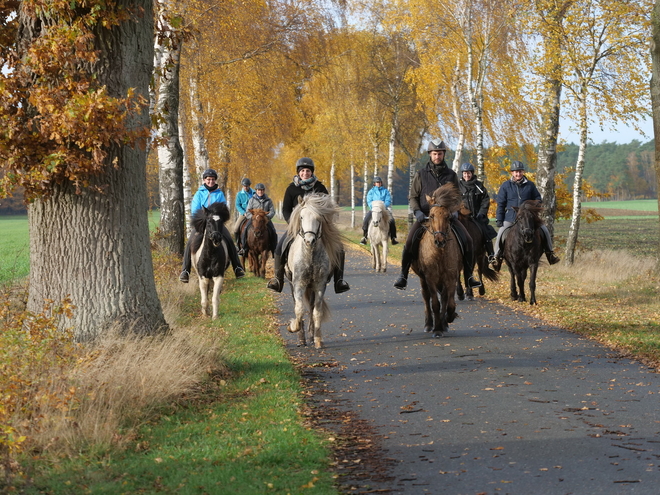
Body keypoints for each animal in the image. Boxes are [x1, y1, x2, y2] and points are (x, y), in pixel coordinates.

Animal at [410, 184, 462, 340]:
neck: (439, 254)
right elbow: (435, 304)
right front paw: (437, 329)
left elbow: (449, 302)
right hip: (423, 279)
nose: (440, 241)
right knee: (426, 297)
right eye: (431, 216)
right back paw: (429, 324)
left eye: (448, 216)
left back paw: (444, 323)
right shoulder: (430, 278)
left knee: (445, 298)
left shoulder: (451, 277)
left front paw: (448, 318)